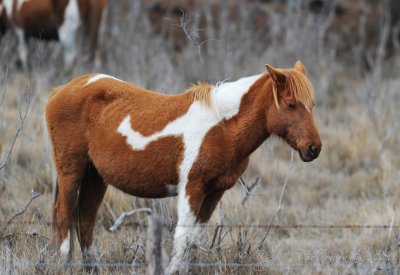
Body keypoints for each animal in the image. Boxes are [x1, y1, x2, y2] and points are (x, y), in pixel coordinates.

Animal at [46, 61, 322, 274]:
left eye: (312, 105)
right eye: (290, 104)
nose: (314, 148)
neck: (222, 127)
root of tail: (61, 90)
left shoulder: (215, 192)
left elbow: (195, 240)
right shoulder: (192, 188)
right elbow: (182, 238)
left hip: (95, 176)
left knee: (85, 221)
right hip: (71, 170)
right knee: (64, 215)